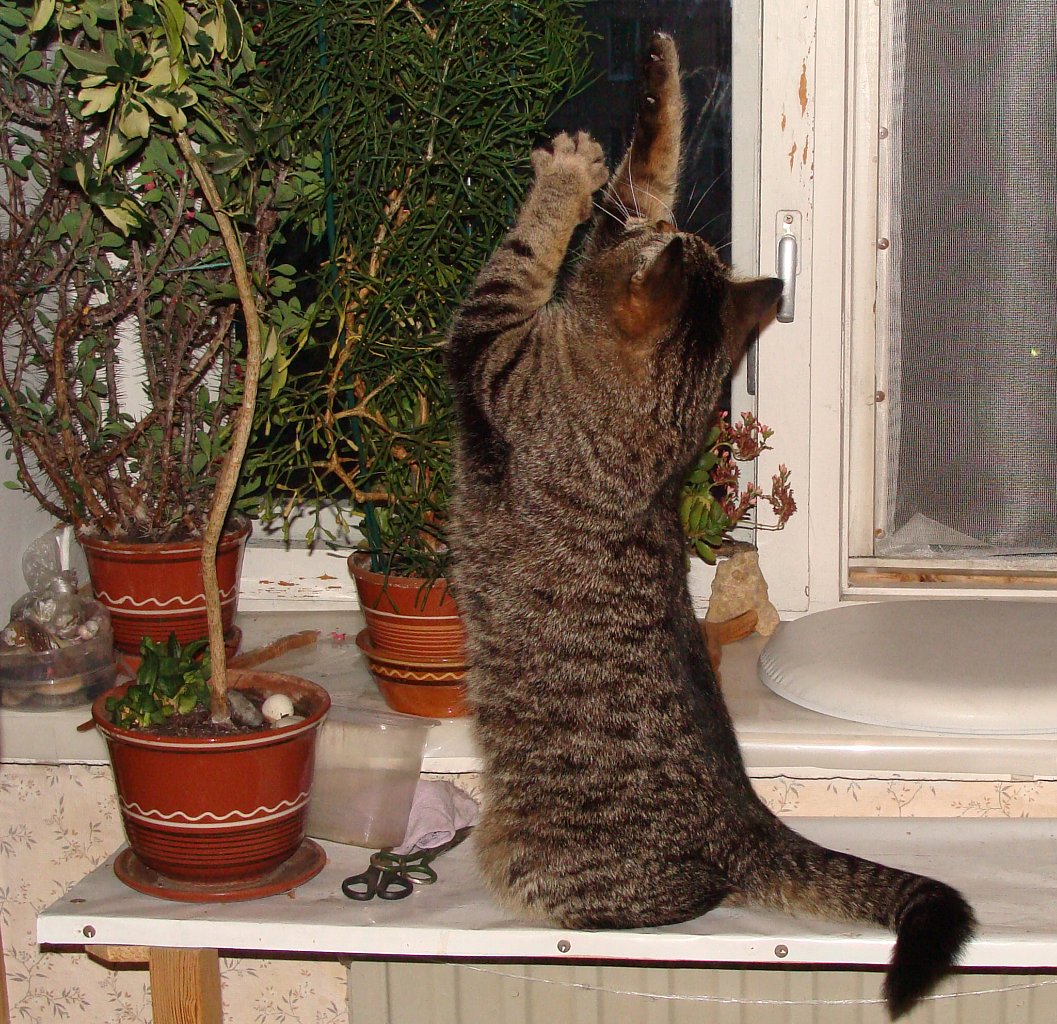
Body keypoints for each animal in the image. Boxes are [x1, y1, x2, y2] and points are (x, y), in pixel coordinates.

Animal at [446, 32, 974, 1020]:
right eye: (685, 239)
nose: (625, 223)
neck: (654, 425)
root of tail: (749, 820)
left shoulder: (489, 342)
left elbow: (528, 249)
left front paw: (566, 180)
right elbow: (654, 162)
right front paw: (655, 90)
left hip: (544, 867)